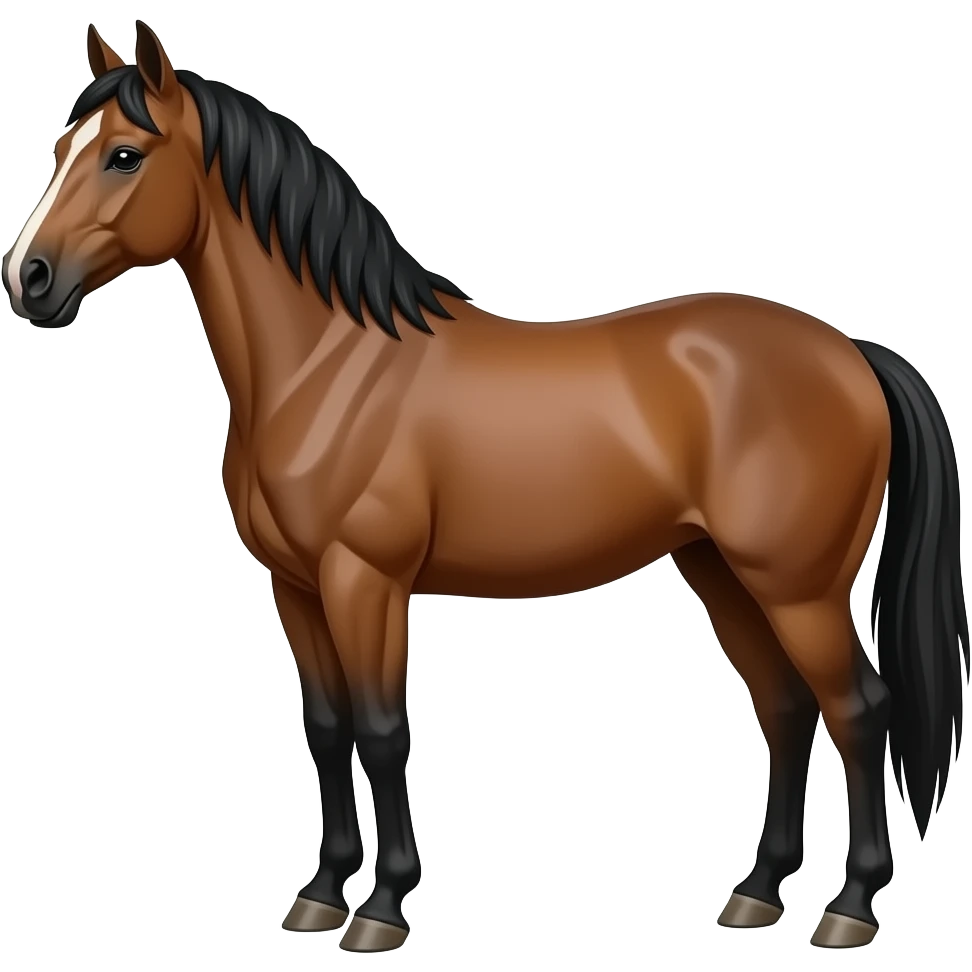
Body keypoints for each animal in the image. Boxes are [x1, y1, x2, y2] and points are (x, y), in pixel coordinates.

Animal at [3, 21, 967, 953]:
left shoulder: (366, 581)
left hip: (798, 587)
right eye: (59, 149)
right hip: (723, 574)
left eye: (124, 154)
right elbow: (326, 730)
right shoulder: (295, 585)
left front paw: (382, 908)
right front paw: (319, 895)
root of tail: (850, 354)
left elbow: (382, 731)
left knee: (859, 710)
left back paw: (849, 908)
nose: (29, 279)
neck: (328, 364)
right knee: (787, 709)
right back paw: (758, 894)